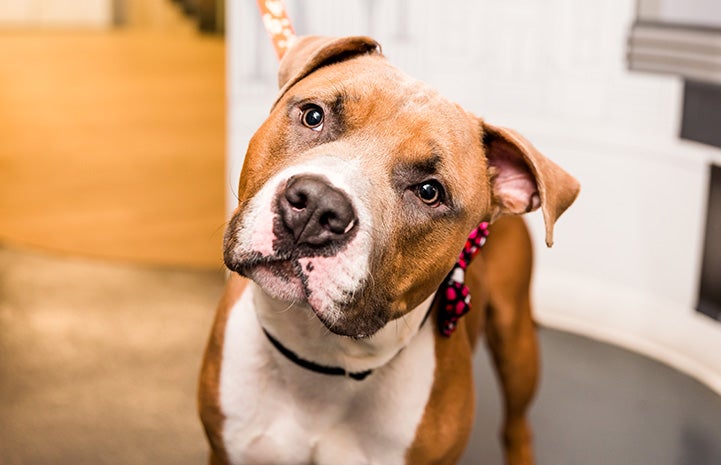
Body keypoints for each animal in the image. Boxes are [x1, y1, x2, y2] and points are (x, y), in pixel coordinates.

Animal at [197, 36, 580, 464]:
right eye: (313, 115)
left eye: (429, 191)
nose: (317, 207)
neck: (322, 358)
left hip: (516, 344)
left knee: (517, 427)